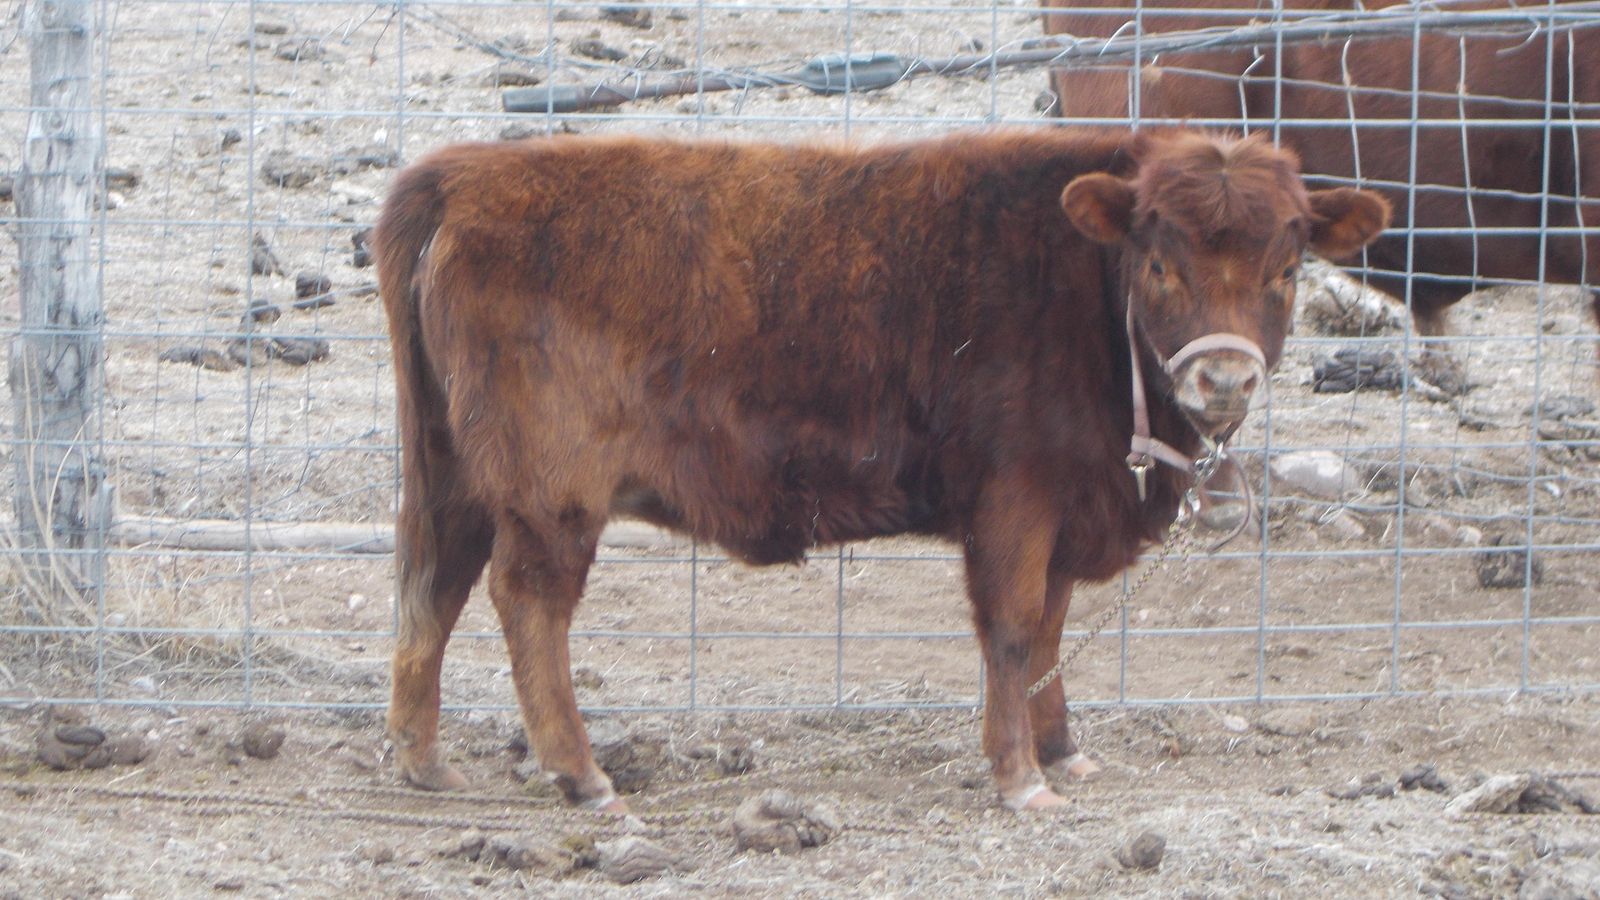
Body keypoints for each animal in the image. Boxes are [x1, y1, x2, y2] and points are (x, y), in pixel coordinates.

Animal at [374, 128, 1387, 812]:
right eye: (1161, 264)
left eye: (1288, 267)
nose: (1224, 378)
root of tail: (465, 174)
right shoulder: (1015, 500)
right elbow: (1013, 631)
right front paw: (1020, 776)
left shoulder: (1063, 511)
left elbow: (1050, 633)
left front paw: (1062, 749)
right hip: (552, 493)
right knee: (526, 600)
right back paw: (582, 772)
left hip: (453, 471)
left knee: (433, 587)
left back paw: (424, 759)